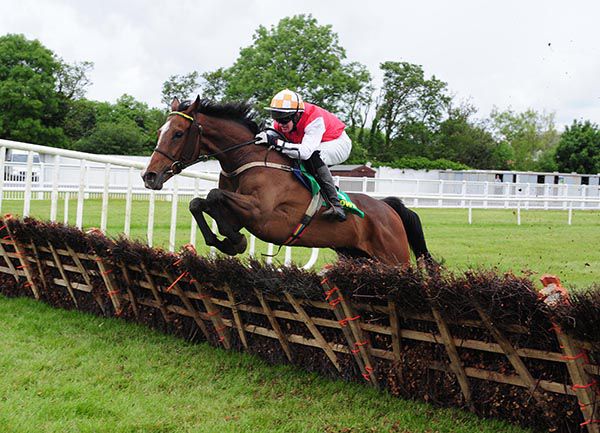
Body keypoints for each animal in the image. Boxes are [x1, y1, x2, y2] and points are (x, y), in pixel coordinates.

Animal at [142, 96, 431, 266]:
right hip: (357, 256)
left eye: (178, 134)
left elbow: (213, 195)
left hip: (394, 259)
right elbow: (198, 203)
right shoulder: (239, 211)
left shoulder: (262, 212)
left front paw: (235, 241)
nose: (149, 176)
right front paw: (227, 241)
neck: (246, 159)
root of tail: (388, 208)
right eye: (160, 131)